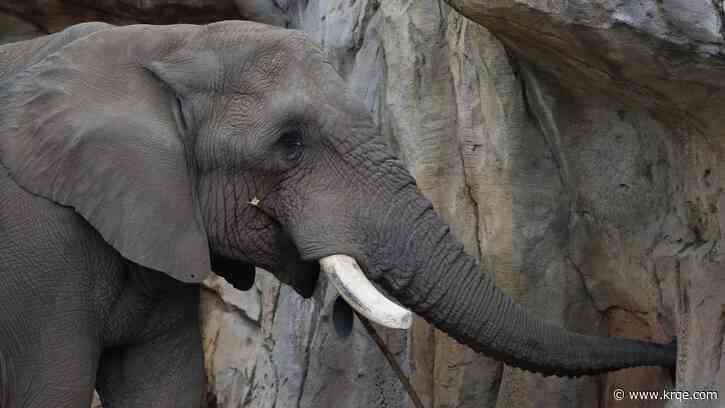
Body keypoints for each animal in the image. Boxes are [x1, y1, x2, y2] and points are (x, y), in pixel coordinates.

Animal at [0, 21, 676, 407]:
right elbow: (52, 389)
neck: (152, 45)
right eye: (290, 142)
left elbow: (163, 388)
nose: (671, 352)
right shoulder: (41, 248)